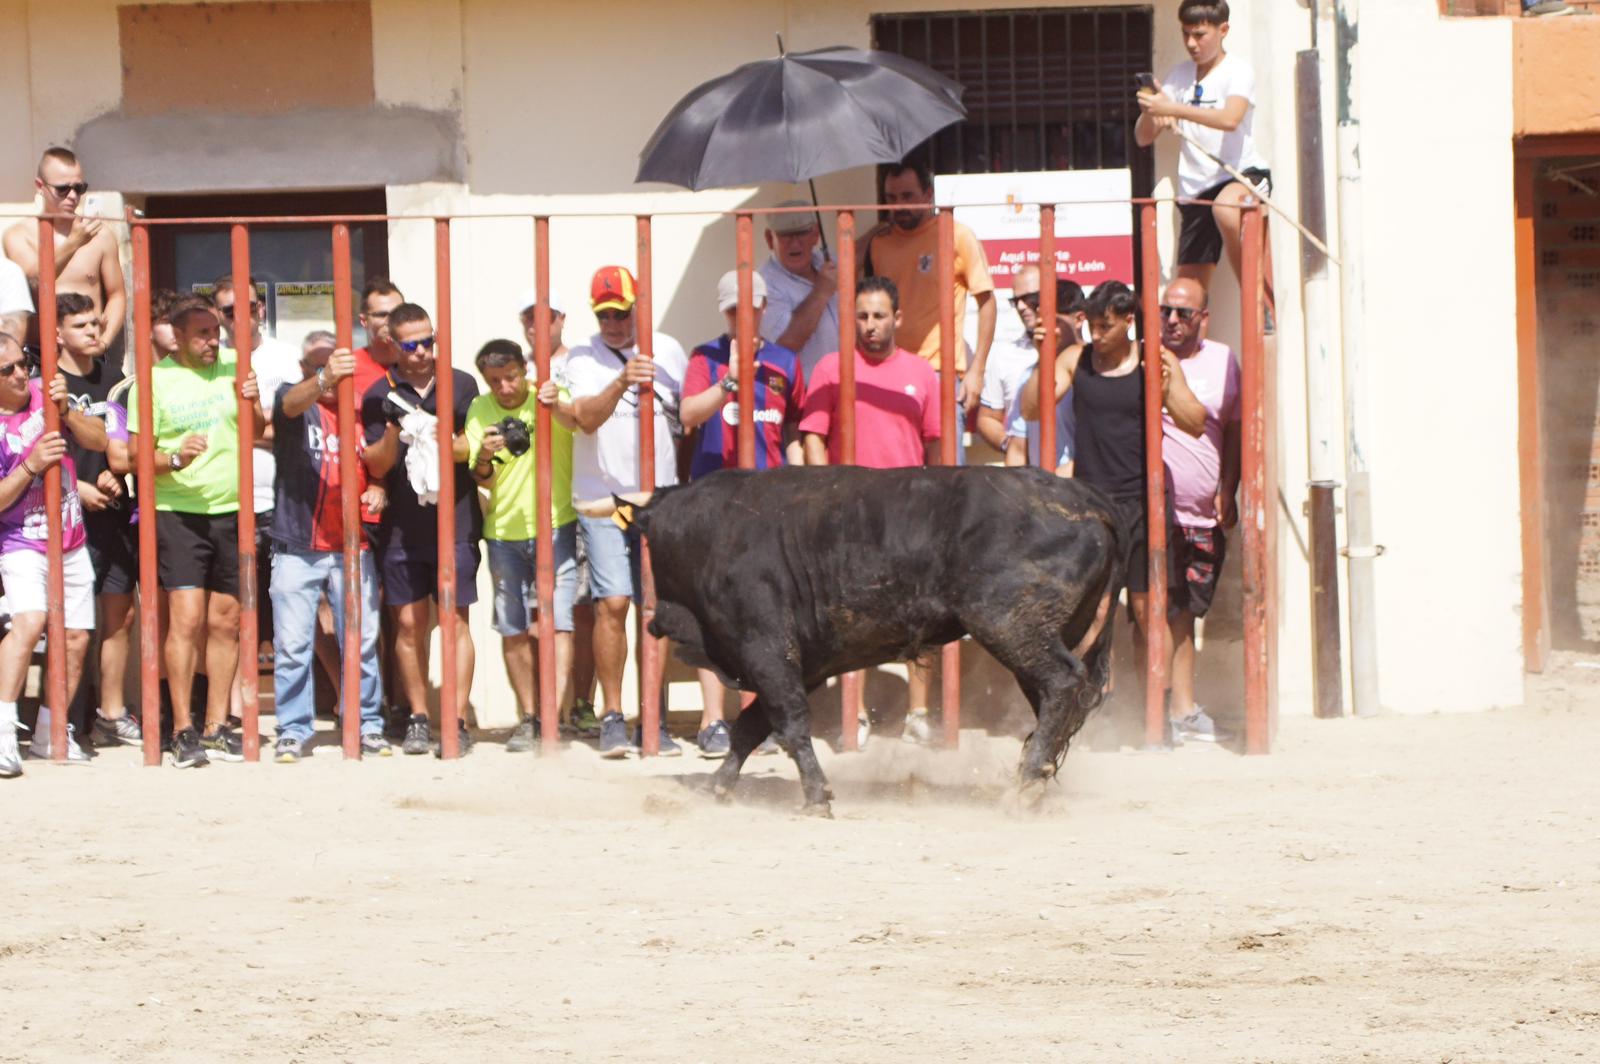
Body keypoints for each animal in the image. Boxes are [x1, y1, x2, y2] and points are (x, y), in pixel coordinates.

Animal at [617, 467, 1120, 812]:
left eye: (645, 545)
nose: (652, 618)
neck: (712, 531)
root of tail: (1082, 496)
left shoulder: (767, 651)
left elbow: (789, 723)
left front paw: (817, 797)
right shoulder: (799, 664)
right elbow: (749, 729)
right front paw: (717, 787)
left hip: (1011, 625)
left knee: (1062, 683)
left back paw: (1026, 785)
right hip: (1045, 635)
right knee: (1055, 700)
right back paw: (1035, 778)